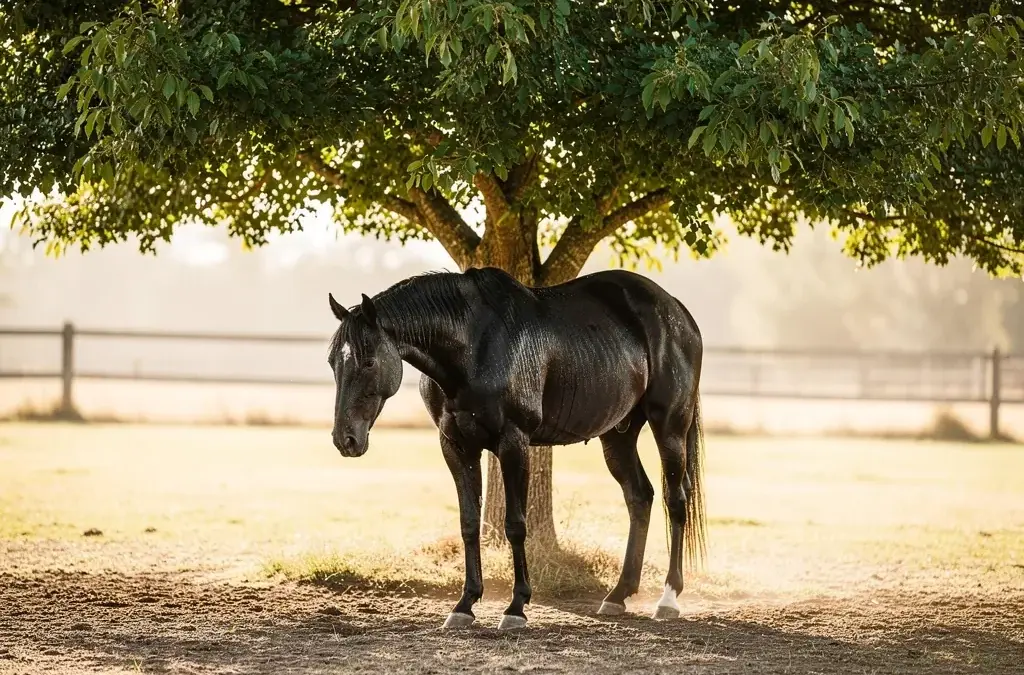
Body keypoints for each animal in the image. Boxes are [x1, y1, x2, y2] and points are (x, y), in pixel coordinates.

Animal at [325, 266, 706, 630]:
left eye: (369, 361)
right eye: (333, 362)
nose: (346, 439)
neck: (473, 346)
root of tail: (677, 311)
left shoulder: (514, 443)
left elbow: (515, 525)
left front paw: (516, 608)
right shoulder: (456, 448)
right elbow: (469, 523)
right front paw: (465, 605)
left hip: (670, 427)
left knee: (676, 500)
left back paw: (668, 598)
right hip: (618, 435)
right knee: (639, 497)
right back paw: (618, 595)